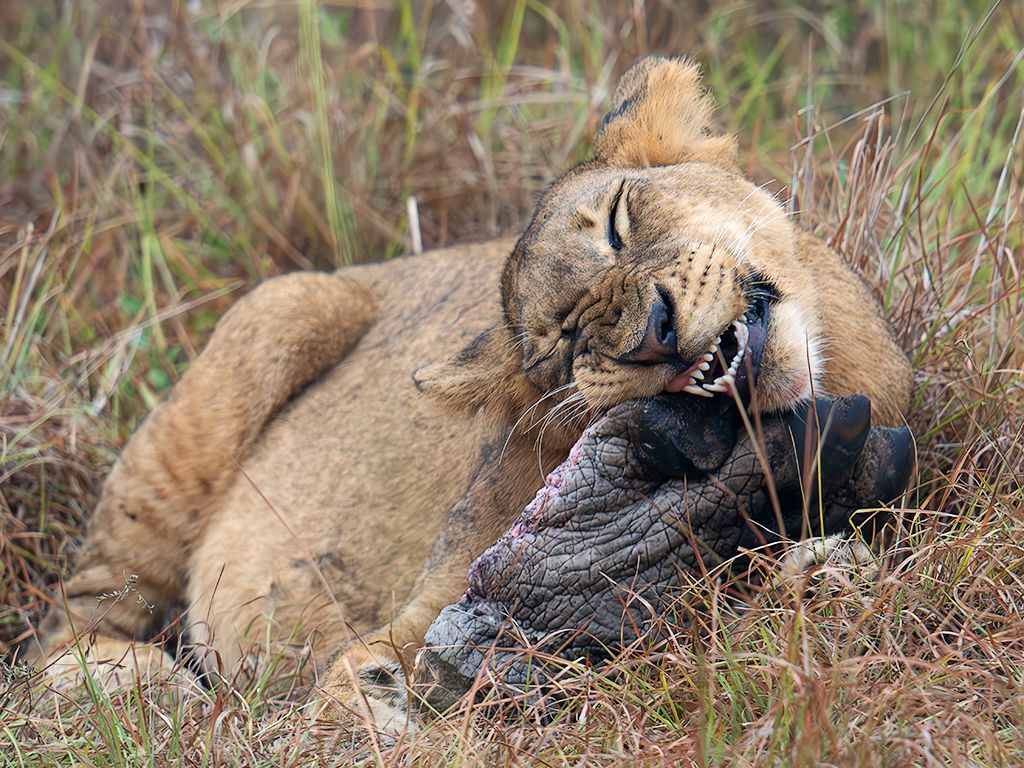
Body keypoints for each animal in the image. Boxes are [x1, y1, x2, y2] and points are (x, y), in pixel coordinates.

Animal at [27, 57, 912, 730]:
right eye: (562, 343)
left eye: (619, 222)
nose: (652, 333)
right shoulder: (426, 602)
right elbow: (356, 680)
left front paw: (818, 571)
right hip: (267, 326)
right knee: (63, 628)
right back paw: (138, 689)